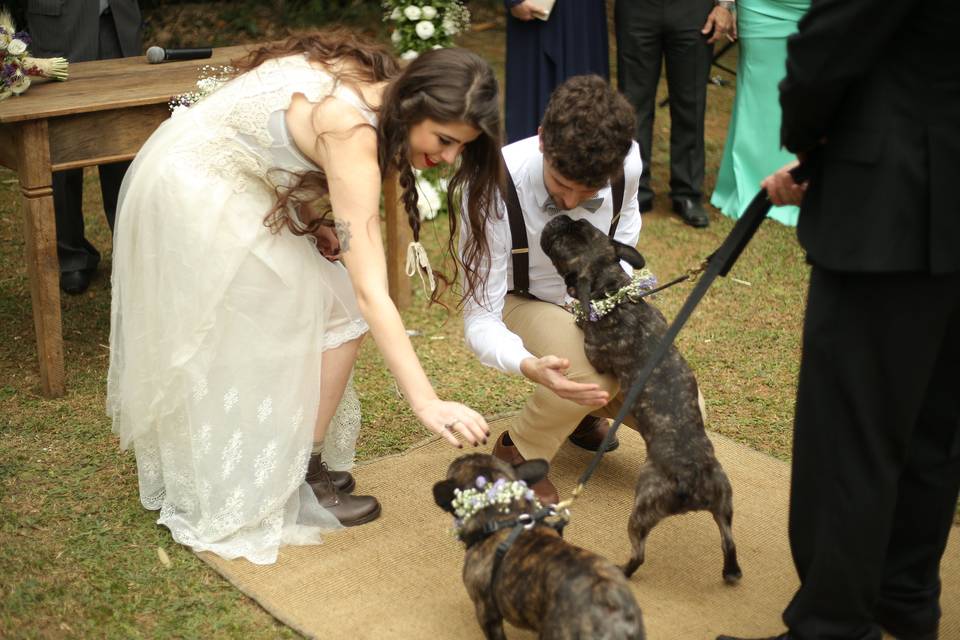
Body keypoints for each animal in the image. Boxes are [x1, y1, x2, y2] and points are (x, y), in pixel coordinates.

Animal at [540, 214, 744, 584]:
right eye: (583, 225)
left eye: (561, 242)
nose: (560, 218)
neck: (613, 293)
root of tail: (690, 477)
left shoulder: (596, 353)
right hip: (724, 502)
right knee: (728, 542)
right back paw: (731, 572)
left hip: (642, 509)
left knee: (639, 555)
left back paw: (622, 569)